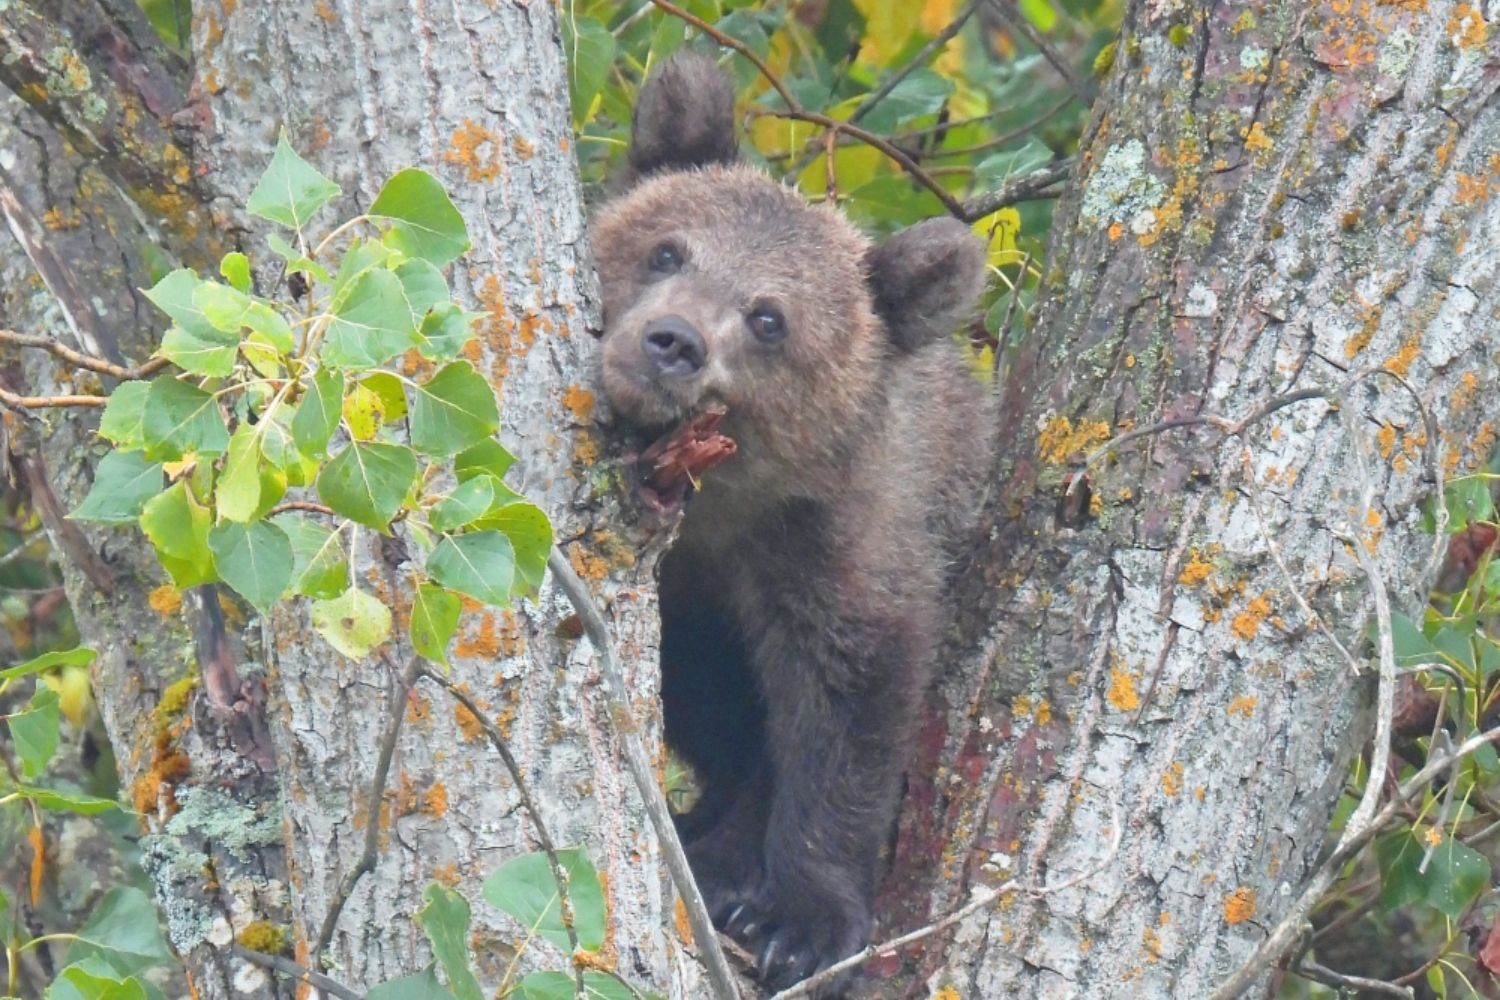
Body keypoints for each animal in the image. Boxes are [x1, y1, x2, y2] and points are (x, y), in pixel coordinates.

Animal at [594, 56, 996, 1000]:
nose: (672, 341)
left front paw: (800, 921)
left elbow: (845, 706)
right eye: (668, 248)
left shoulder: (841, 537)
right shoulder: (693, 586)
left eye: (769, 317)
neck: (721, 507)